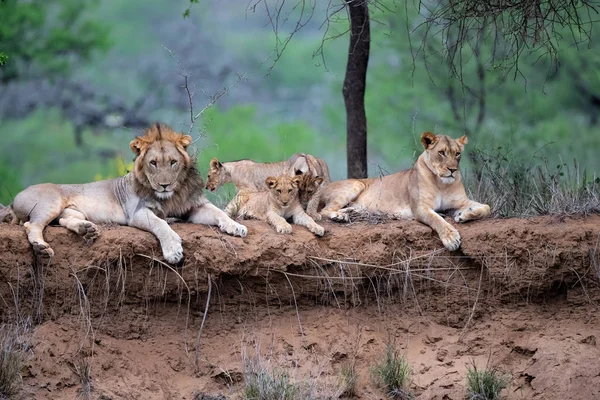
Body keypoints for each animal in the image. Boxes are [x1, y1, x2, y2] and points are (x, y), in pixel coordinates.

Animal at [2, 123, 246, 264]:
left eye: (173, 162)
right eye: (153, 163)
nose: (165, 185)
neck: (171, 196)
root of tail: (15, 200)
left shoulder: (194, 207)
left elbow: (219, 213)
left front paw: (236, 227)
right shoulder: (137, 213)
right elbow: (160, 224)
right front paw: (173, 250)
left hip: (71, 212)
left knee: (64, 221)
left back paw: (87, 230)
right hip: (50, 202)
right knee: (31, 225)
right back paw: (42, 248)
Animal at [308, 131, 490, 250]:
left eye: (457, 154)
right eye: (441, 153)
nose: (452, 170)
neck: (442, 183)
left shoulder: (460, 201)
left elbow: (486, 207)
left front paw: (464, 214)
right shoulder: (420, 208)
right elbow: (437, 219)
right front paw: (451, 239)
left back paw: (352, 211)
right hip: (356, 185)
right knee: (324, 210)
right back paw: (339, 216)